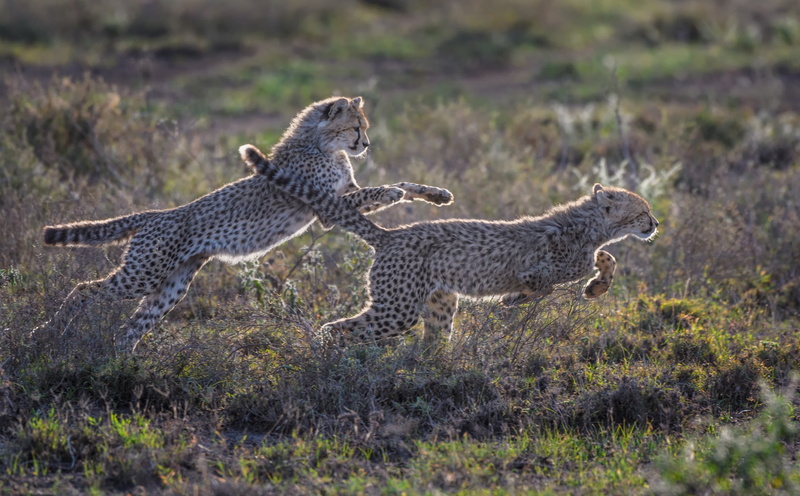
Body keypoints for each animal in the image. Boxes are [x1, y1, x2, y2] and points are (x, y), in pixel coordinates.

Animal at [35, 96, 454, 351]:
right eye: (356, 127)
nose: (365, 145)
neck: (323, 147)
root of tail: (157, 214)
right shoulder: (326, 208)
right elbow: (381, 190)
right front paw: (394, 194)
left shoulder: (343, 196)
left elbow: (403, 183)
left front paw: (436, 194)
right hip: (144, 273)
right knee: (84, 289)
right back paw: (49, 331)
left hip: (172, 286)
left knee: (138, 321)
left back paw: (120, 360)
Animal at [240, 143, 659, 344]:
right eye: (643, 210)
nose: (655, 224)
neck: (590, 226)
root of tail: (391, 235)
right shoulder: (536, 269)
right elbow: (543, 285)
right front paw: (514, 300)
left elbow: (604, 259)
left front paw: (596, 287)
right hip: (398, 308)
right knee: (336, 329)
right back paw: (332, 360)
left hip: (437, 304)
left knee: (432, 341)